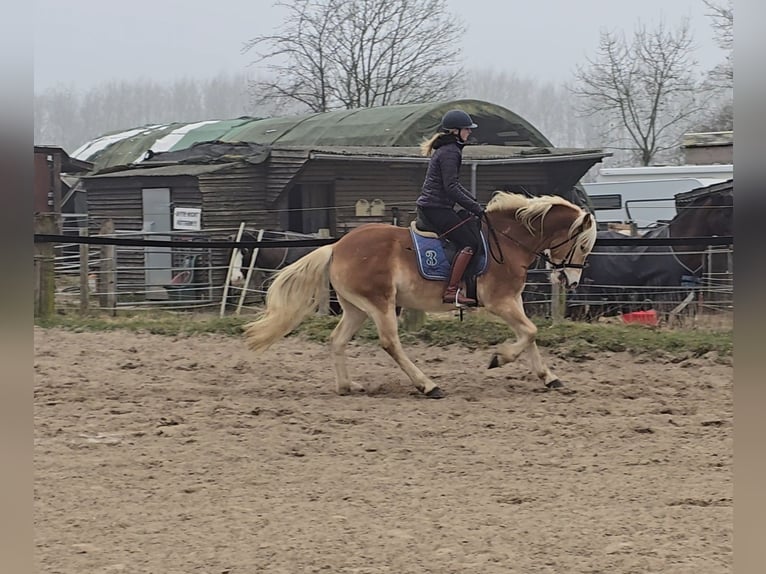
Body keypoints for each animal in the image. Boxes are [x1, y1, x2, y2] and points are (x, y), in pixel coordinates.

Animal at [243, 191, 596, 398]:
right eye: (581, 245)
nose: (570, 280)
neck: (508, 241)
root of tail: (337, 246)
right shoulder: (500, 302)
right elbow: (530, 332)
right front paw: (499, 358)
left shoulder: (513, 301)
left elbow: (530, 335)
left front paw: (549, 378)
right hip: (381, 303)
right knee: (390, 343)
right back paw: (427, 384)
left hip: (356, 308)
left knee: (338, 340)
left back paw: (347, 385)